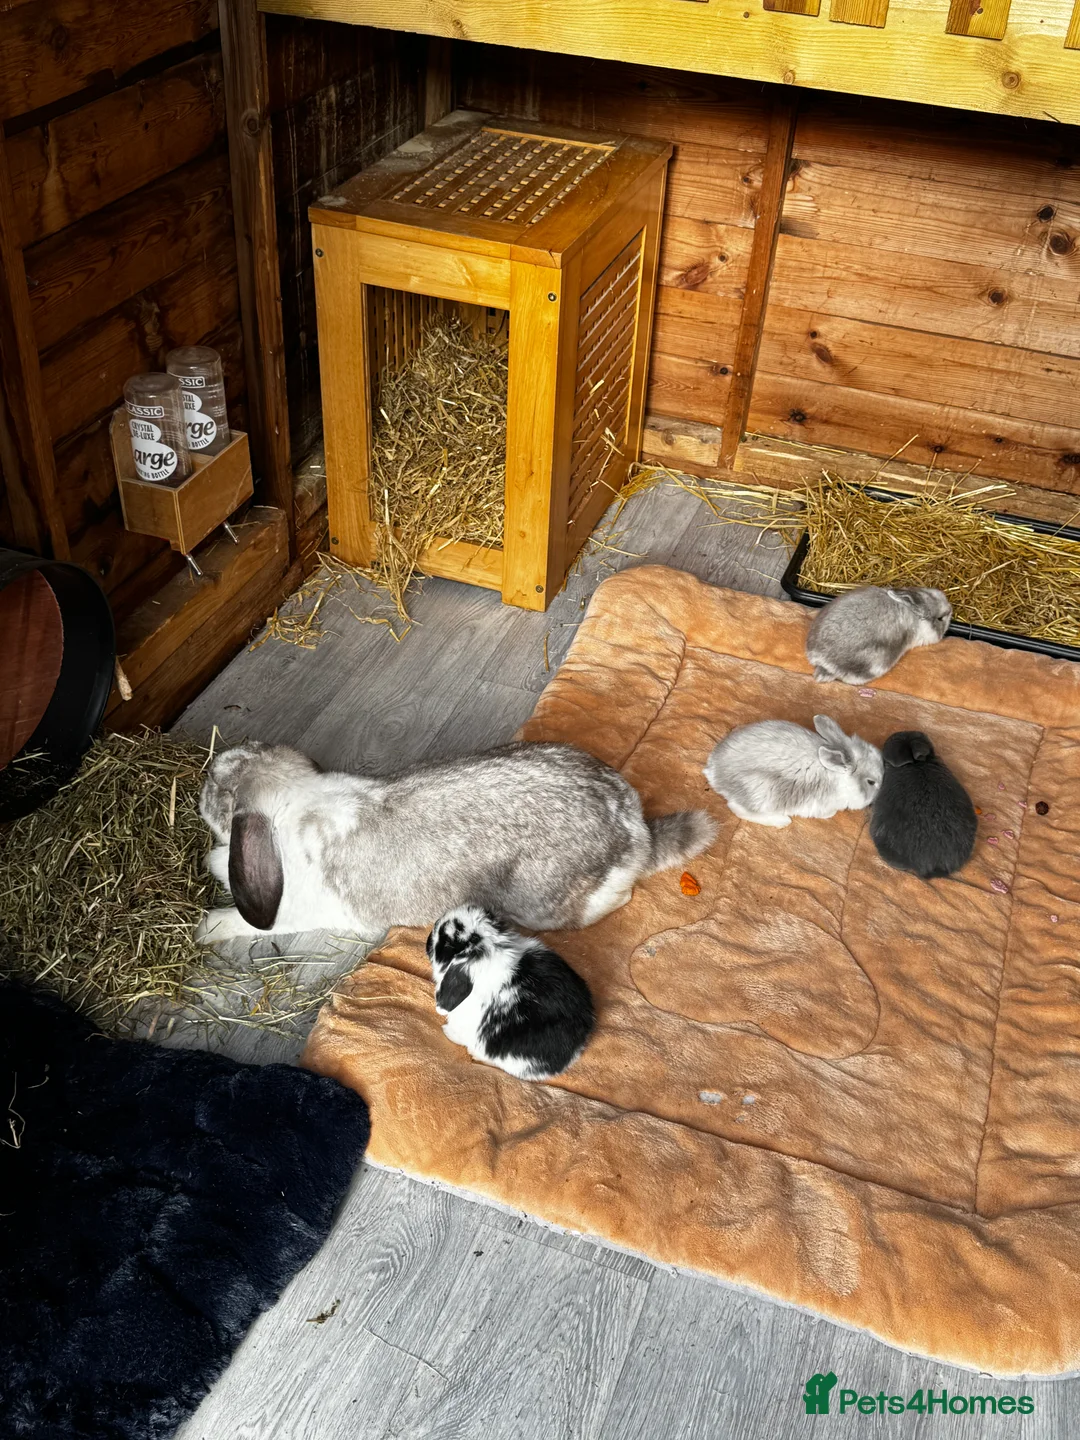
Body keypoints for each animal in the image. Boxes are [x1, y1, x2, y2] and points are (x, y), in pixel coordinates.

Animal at [196, 739, 717, 942]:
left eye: (220, 791)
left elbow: (245, 923)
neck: (291, 803)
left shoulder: (295, 912)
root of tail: (636, 831)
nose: (202, 784)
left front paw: (207, 926)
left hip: (549, 907)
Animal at [704, 715, 883, 828]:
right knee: (737, 808)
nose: (878, 797)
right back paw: (782, 821)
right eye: (871, 782)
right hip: (762, 791)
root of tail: (713, 772)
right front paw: (830, 814)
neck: (838, 776)